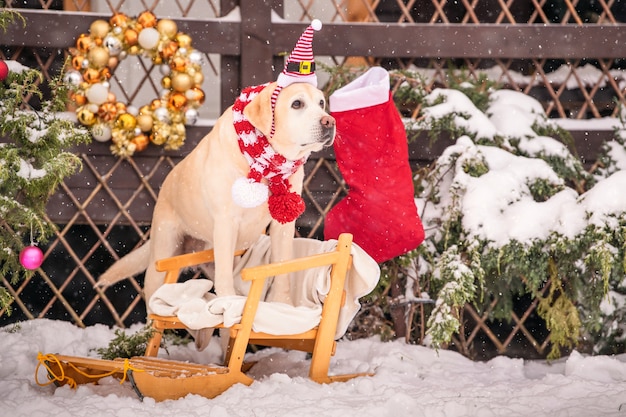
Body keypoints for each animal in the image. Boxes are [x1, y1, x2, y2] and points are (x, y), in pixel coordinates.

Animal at [94, 81, 334, 310]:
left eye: (321, 103)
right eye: (297, 104)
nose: (329, 121)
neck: (265, 163)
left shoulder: (283, 226)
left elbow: (282, 267)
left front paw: (282, 303)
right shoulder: (226, 222)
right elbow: (224, 274)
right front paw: (228, 304)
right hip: (163, 254)